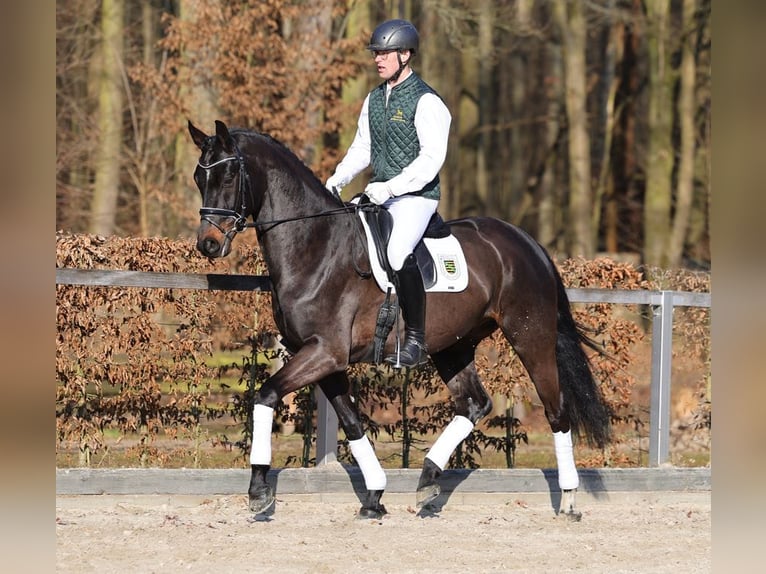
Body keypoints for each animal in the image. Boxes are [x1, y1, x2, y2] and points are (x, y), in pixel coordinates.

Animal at [188, 119, 612, 521]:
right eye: (198, 178)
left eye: (229, 176)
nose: (208, 244)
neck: (316, 246)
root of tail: (525, 241)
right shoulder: (324, 360)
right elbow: (352, 422)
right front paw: (375, 495)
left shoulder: (324, 352)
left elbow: (266, 395)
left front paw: (259, 490)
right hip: (453, 346)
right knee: (475, 404)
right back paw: (428, 481)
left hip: (530, 337)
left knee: (556, 410)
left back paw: (569, 500)